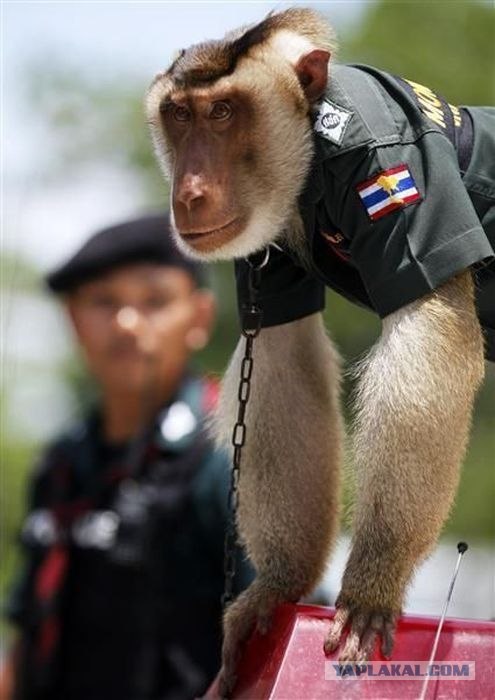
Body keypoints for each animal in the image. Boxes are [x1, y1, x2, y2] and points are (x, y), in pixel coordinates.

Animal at [145, 7, 495, 695]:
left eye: (222, 112)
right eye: (181, 116)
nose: (191, 191)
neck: (309, 151)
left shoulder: (391, 158)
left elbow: (426, 327)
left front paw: (372, 582)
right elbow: (282, 354)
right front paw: (279, 585)